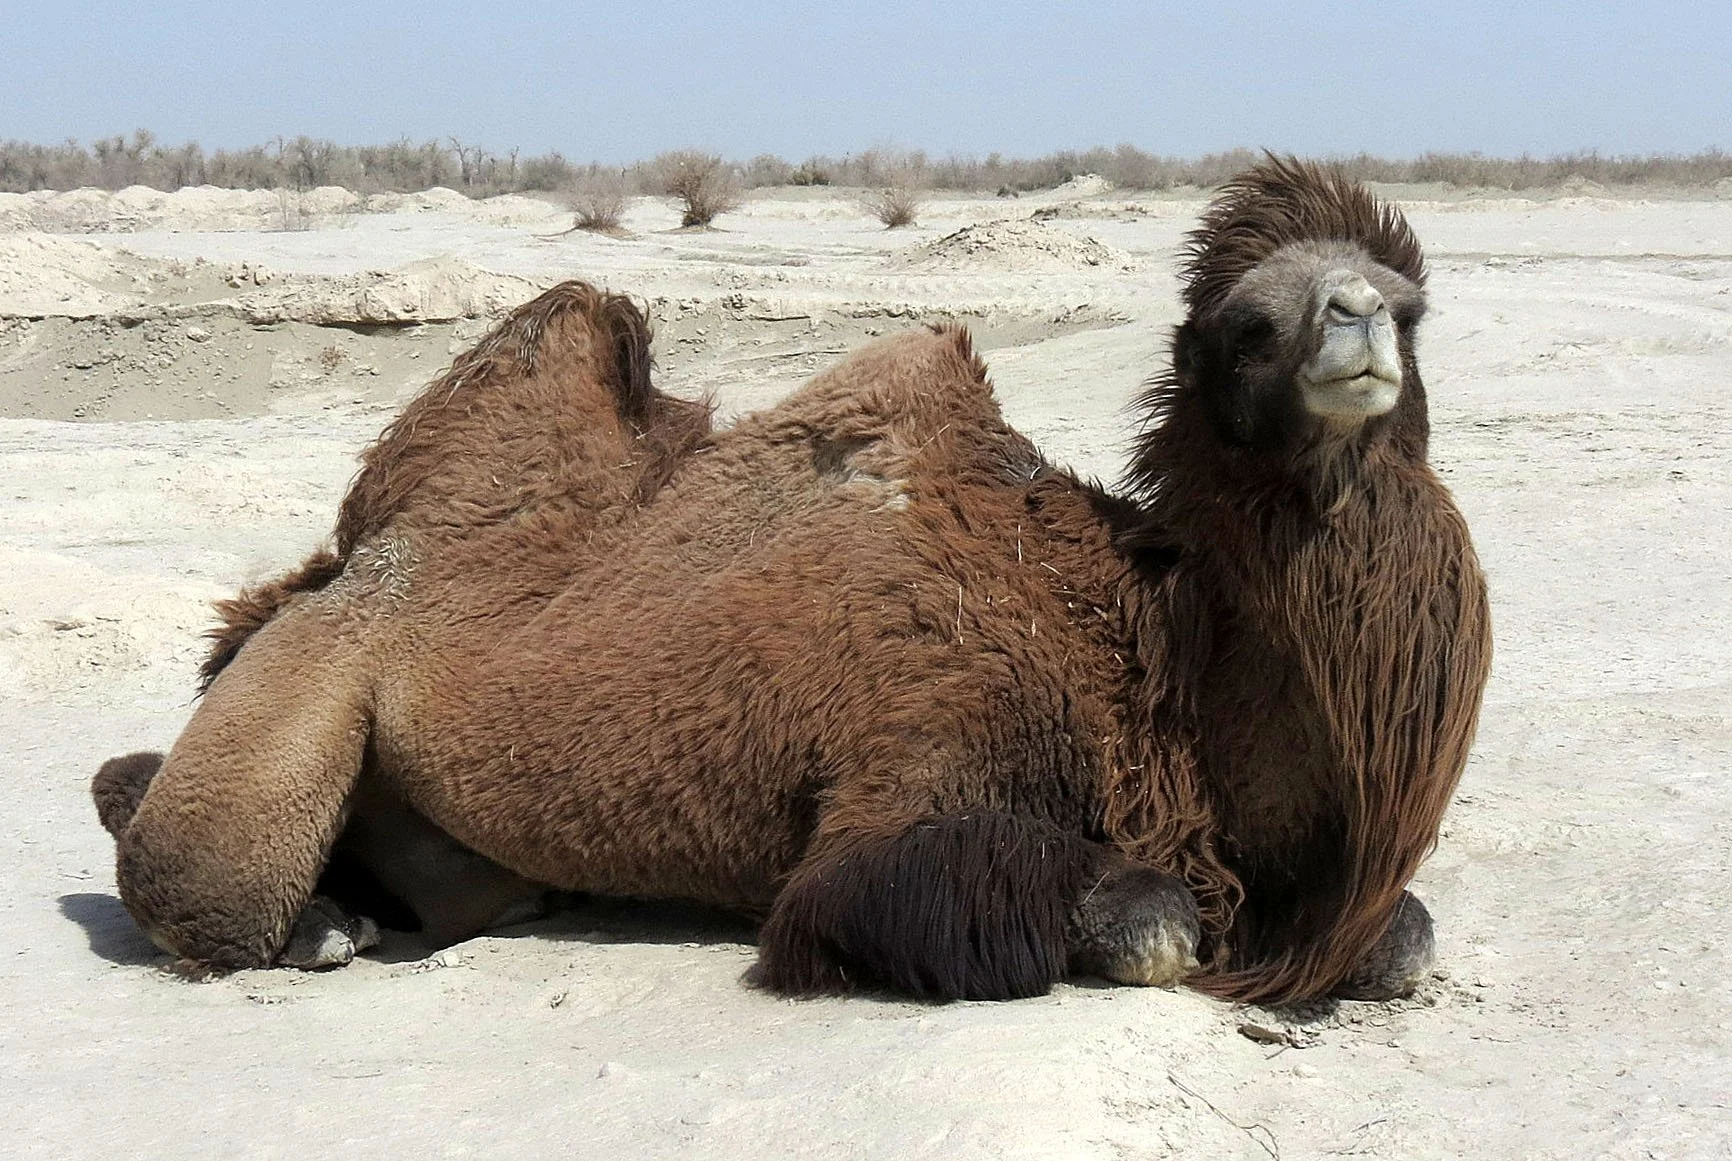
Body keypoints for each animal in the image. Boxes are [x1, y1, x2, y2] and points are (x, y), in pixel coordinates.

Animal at [93, 158, 1490, 1004]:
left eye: (1407, 308)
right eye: (1250, 326)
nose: (1356, 321)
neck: (1139, 642)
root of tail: (313, 583)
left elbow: (1403, 935)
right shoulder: (921, 745)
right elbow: (1133, 919)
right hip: (304, 699)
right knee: (193, 857)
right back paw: (316, 928)